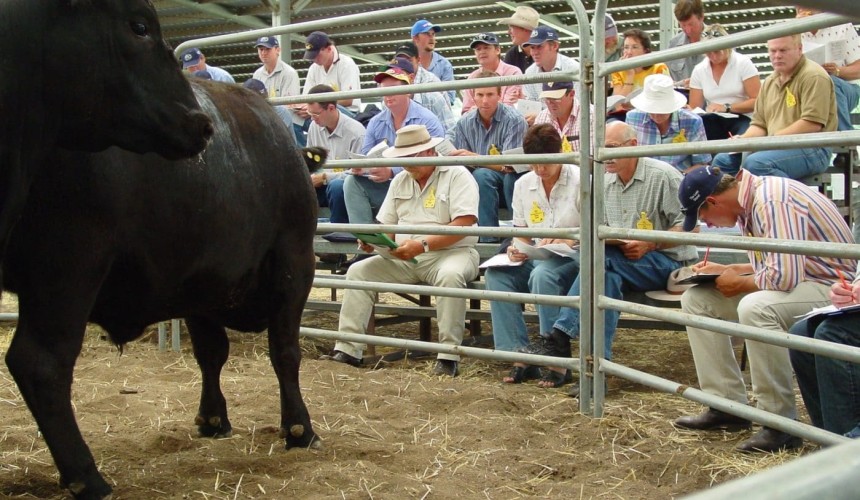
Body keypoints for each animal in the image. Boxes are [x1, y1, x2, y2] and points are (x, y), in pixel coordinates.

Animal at [3, 80, 319, 499]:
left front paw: (213, 419)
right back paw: (88, 477)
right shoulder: (294, 258)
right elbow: (285, 352)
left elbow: (211, 354)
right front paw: (299, 428)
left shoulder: (202, 284)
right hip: (67, 270)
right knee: (41, 364)